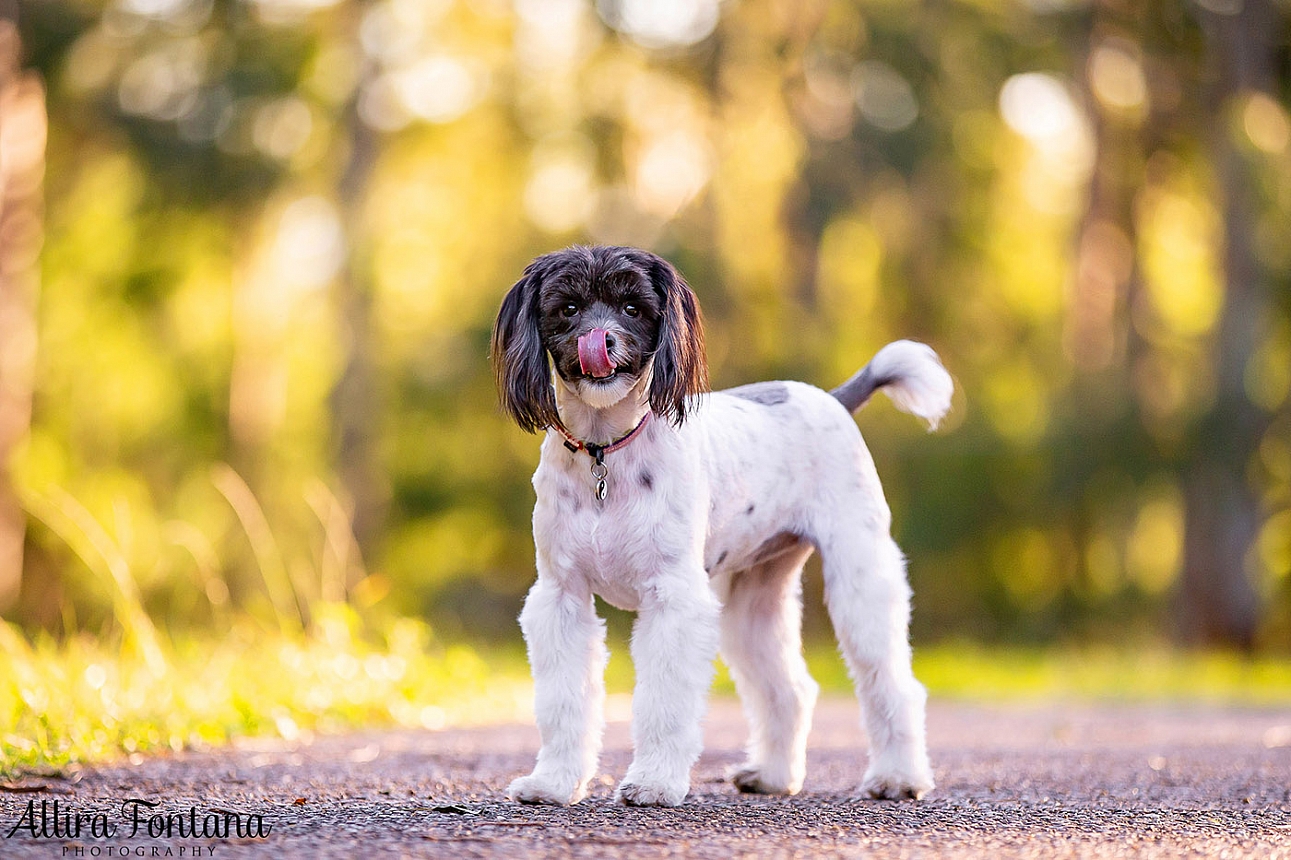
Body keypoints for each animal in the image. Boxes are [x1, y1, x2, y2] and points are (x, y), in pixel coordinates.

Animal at [487, 246, 955, 805]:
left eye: (633, 308)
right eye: (569, 308)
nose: (602, 340)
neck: (607, 452)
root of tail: (833, 398)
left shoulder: (673, 601)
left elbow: (665, 702)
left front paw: (653, 782)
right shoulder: (562, 599)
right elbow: (564, 702)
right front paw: (553, 782)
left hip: (860, 582)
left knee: (890, 681)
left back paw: (899, 777)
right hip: (754, 602)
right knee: (790, 688)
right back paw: (773, 775)